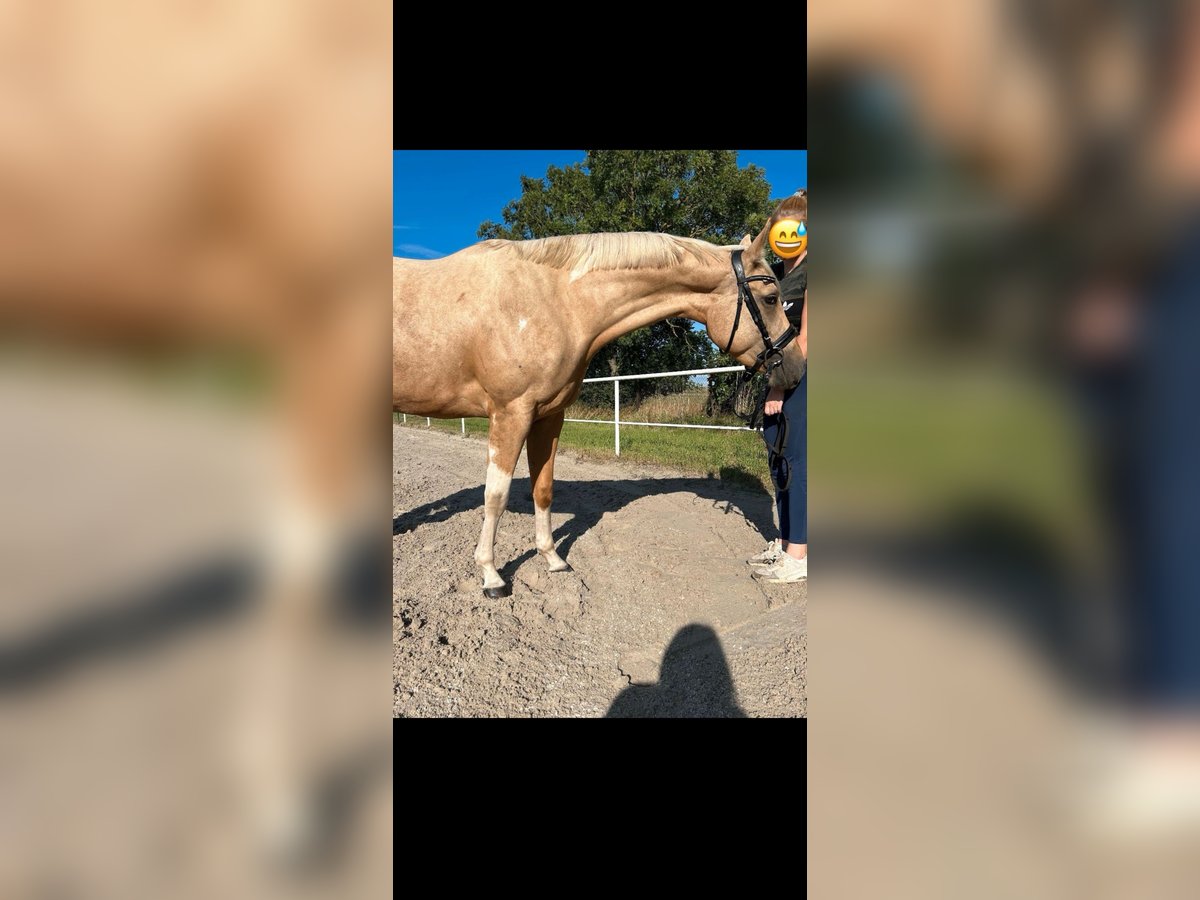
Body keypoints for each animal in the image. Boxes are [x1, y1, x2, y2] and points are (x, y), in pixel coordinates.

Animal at [393, 216, 807, 598]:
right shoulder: (510, 414)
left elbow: (543, 489)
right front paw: (491, 575)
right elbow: (496, 496)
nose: (795, 367)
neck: (553, 300)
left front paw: (552, 558)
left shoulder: (548, 416)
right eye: (771, 298)